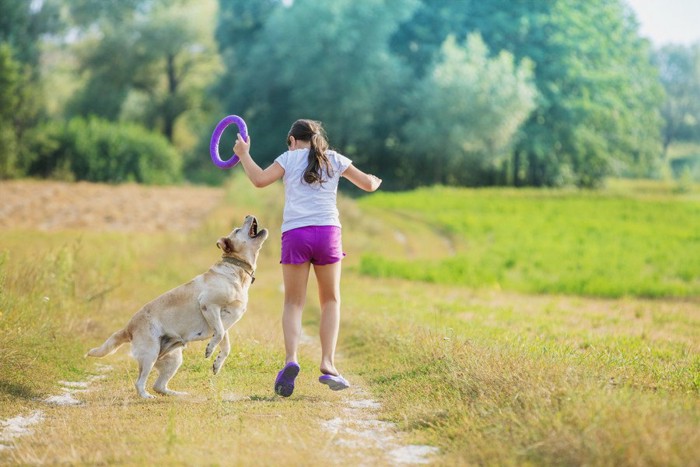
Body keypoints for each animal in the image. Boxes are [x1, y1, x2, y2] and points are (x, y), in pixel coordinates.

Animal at [85, 216, 266, 398]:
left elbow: (226, 345)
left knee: (158, 386)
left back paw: (178, 394)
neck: (237, 270)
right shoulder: (208, 305)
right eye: (237, 230)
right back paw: (146, 396)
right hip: (150, 354)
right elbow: (220, 334)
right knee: (140, 383)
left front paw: (217, 364)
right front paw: (209, 350)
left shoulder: (224, 321)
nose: (248, 216)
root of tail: (128, 327)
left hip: (172, 359)